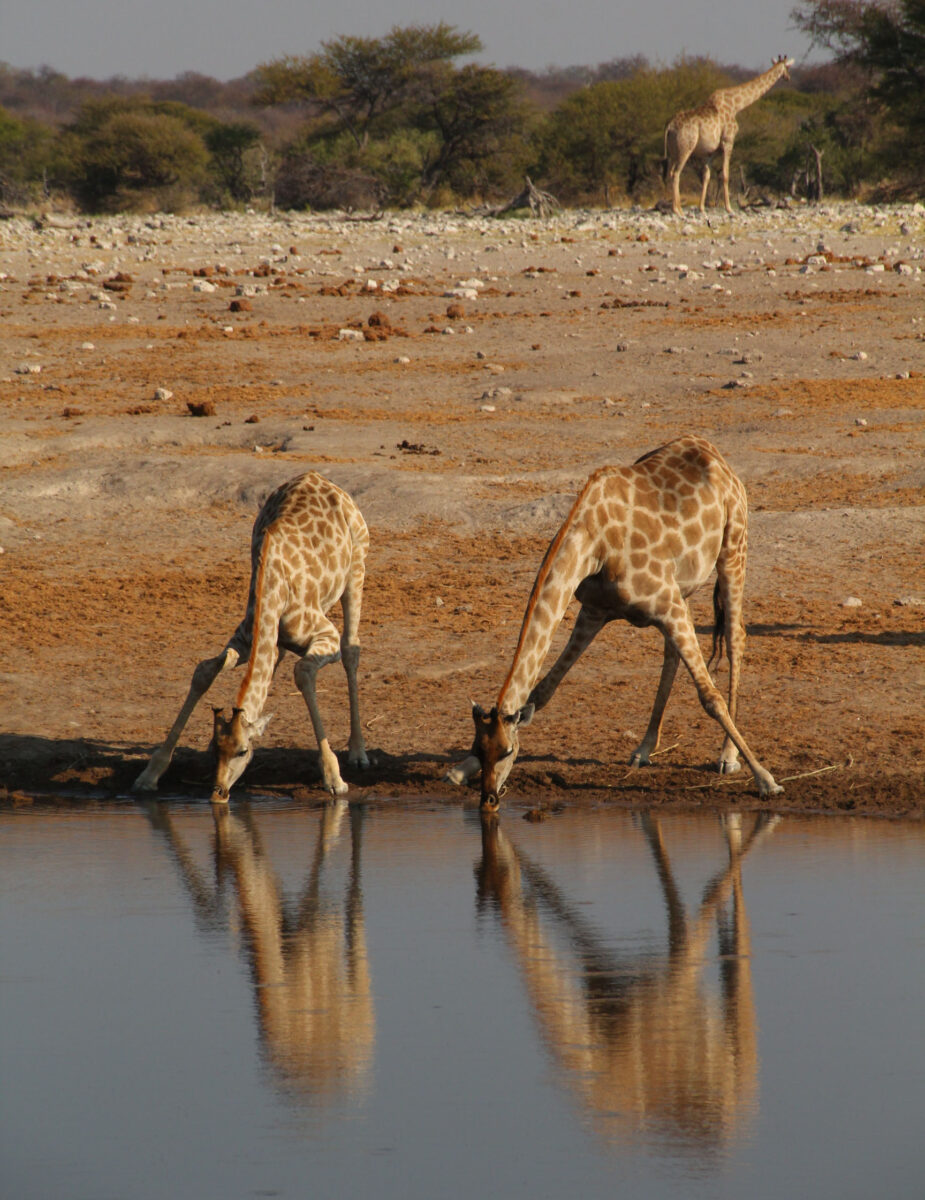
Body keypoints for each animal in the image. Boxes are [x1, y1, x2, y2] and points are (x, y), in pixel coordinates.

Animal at [133, 471, 370, 802]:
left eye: (243, 751)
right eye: (214, 749)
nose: (218, 793)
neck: (273, 586)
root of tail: (320, 477)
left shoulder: (325, 635)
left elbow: (304, 672)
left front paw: (334, 778)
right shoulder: (245, 638)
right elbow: (205, 670)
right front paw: (149, 774)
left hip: (356, 569)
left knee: (351, 648)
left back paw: (359, 753)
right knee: (276, 657)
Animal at [447, 435, 783, 807]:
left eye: (507, 751)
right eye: (479, 748)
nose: (489, 799)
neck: (594, 544)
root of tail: (715, 454)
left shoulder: (666, 605)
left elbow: (710, 697)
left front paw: (766, 779)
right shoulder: (595, 611)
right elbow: (542, 690)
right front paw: (459, 770)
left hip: (733, 548)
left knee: (735, 637)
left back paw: (727, 756)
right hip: (681, 588)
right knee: (673, 653)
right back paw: (644, 748)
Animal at [665, 56, 794, 216]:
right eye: (787, 68)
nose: (788, 78)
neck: (735, 106)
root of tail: (670, 126)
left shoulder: (712, 151)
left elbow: (707, 175)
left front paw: (702, 208)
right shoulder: (728, 141)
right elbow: (725, 175)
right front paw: (729, 208)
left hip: (673, 152)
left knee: (671, 173)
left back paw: (675, 207)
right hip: (685, 148)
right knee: (677, 173)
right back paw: (678, 209)